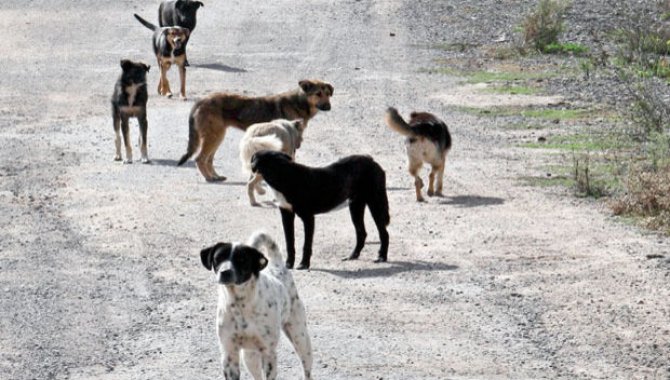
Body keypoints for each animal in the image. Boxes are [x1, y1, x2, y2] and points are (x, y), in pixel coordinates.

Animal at [178, 79, 336, 182]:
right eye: (318, 93)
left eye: (328, 94)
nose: (329, 107)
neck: (299, 102)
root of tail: (200, 101)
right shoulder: (290, 142)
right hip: (214, 136)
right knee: (200, 158)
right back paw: (209, 178)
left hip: (217, 137)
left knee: (208, 159)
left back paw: (215, 176)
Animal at [201, 230, 314, 378]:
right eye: (218, 258)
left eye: (242, 259)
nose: (225, 272)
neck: (240, 303)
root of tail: (276, 265)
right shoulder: (229, 355)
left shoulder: (269, 353)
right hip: (249, 356)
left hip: (301, 339)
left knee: (307, 371)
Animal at [252, 151, 392, 270]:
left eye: (277, 166)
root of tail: (371, 160)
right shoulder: (286, 214)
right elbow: (289, 242)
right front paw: (288, 265)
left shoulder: (308, 217)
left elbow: (306, 245)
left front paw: (304, 264)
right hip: (355, 206)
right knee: (361, 233)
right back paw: (353, 255)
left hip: (375, 203)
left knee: (384, 233)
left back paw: (382, 257)